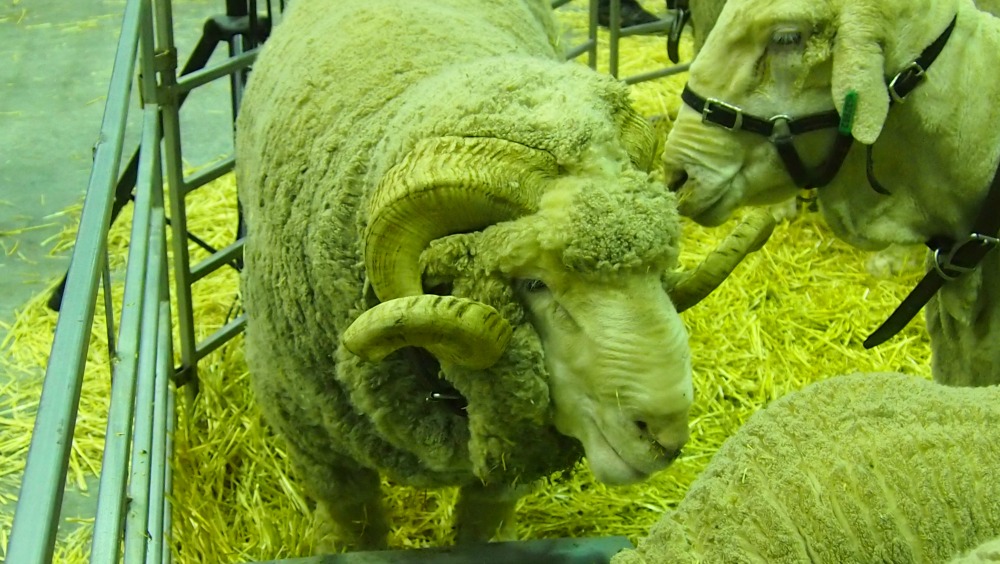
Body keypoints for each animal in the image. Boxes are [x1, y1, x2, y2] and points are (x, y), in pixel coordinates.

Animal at [236, 0, 772, 552]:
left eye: (660, 266)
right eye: (534, 282)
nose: (664, 436)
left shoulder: (500, 485)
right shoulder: (320, 453)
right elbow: (354, 529)